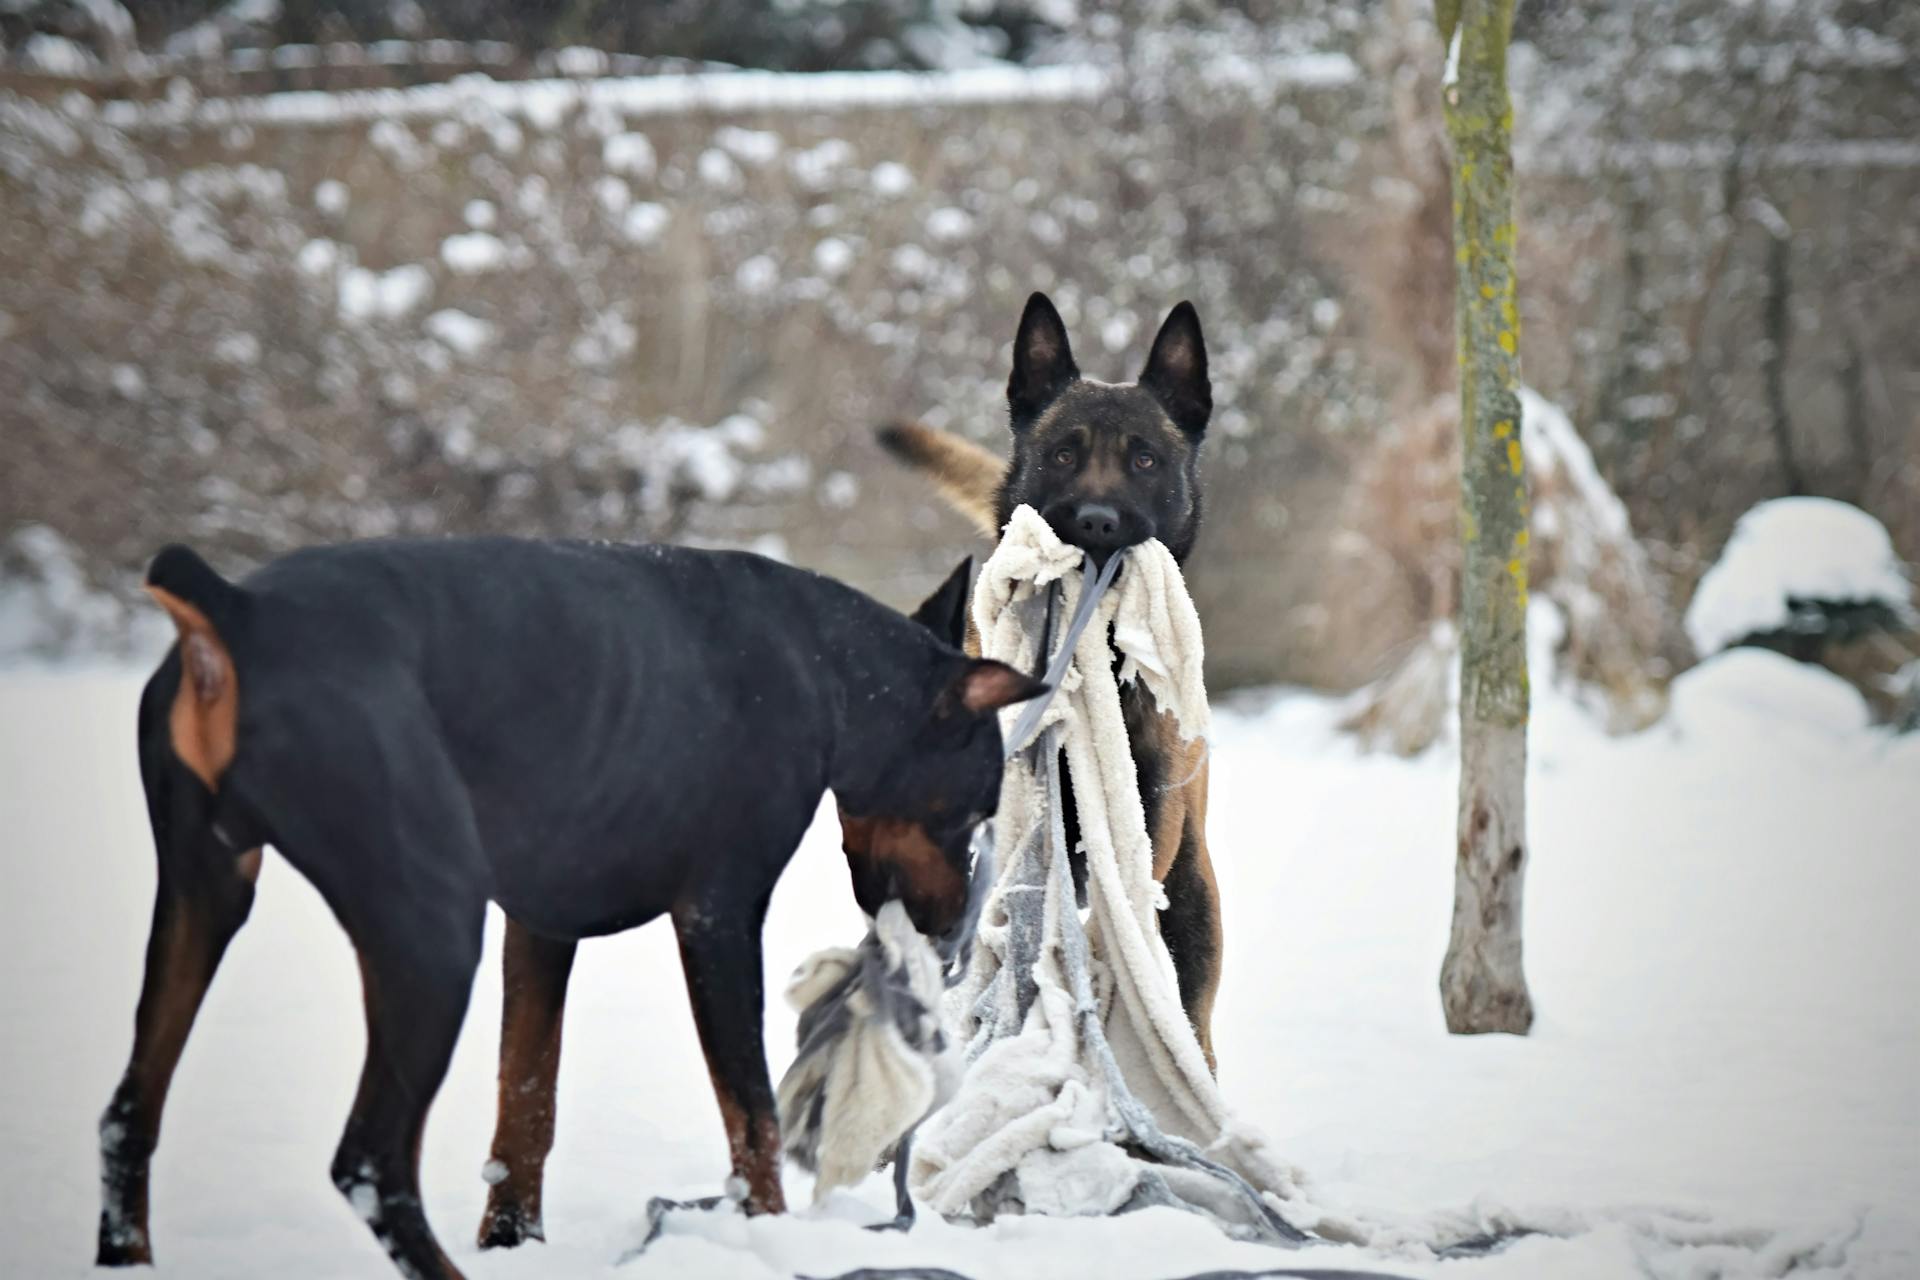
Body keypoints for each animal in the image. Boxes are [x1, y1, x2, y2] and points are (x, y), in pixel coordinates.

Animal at [97, 541, 1044, 1280]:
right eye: (976, 804)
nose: (948, 930)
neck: (826, 672)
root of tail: (239, 613)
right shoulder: (719, 913)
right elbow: (754, 1119)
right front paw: (770, 1240)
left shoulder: (540, 926)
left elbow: (527, 1102)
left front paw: (514, 1240)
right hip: (430, 929)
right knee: (368, 1162)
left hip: (204, 895)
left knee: (126, 1117)